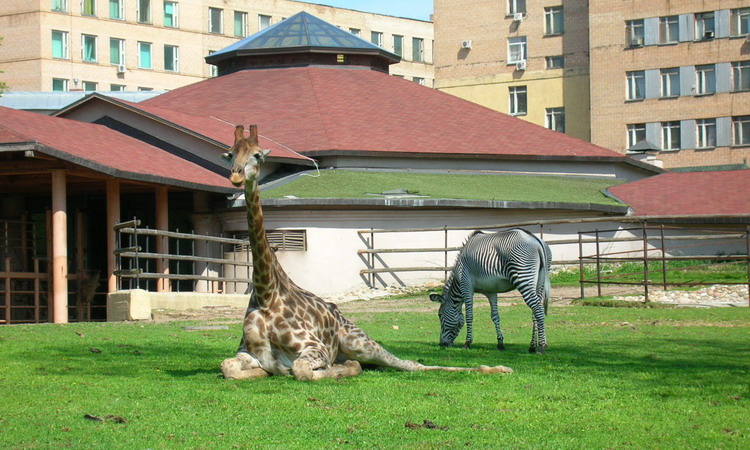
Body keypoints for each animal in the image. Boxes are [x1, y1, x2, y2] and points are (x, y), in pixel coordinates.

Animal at [220, 125, 513, 381]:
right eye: (230, 153)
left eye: (257, 155)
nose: (236, 175)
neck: (266, 295)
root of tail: (341, 316)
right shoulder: (248, 353)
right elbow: (228, 367)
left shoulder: (317, 348)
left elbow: (303, 370)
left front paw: (337, 369)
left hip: (358, 342)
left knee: (409, 364)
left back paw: (500, 368)